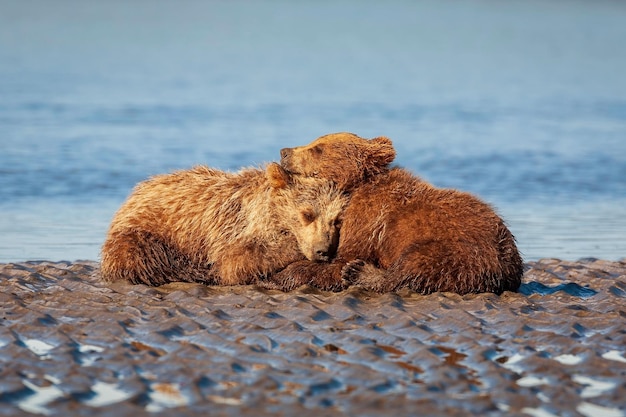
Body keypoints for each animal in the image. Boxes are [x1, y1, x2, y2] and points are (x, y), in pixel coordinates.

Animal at [101, 162, 346, 286]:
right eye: (307, 214)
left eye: (336, 220)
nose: (323, 250)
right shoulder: (229, 229)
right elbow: (235, 263)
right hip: (141, 229)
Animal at [268, 132, 520, 292]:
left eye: (318, 148)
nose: (284, 151)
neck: (355, 186)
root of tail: (508, 264)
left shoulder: (369, 217)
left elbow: (343, 258)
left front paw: (280, 275)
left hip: (461, 249)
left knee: (414, 263)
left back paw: (361, 272)